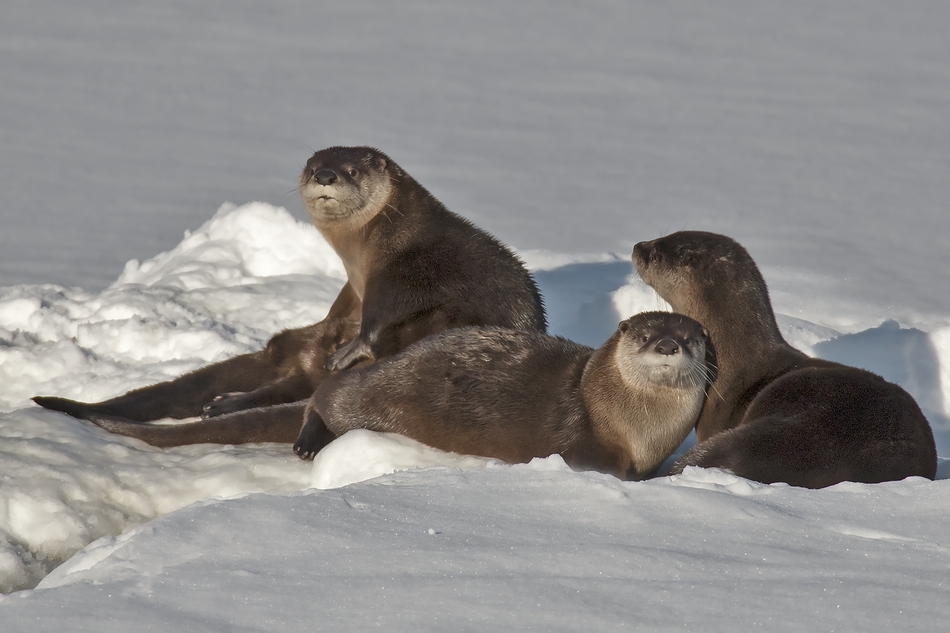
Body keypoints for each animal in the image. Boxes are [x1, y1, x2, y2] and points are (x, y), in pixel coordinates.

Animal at [294, 312, 712, 478]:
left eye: (690, 338)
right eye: (645, 336)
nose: (668, 345)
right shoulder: (589, 443)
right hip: (373, 394)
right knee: (327, 395)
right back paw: (306, 444)